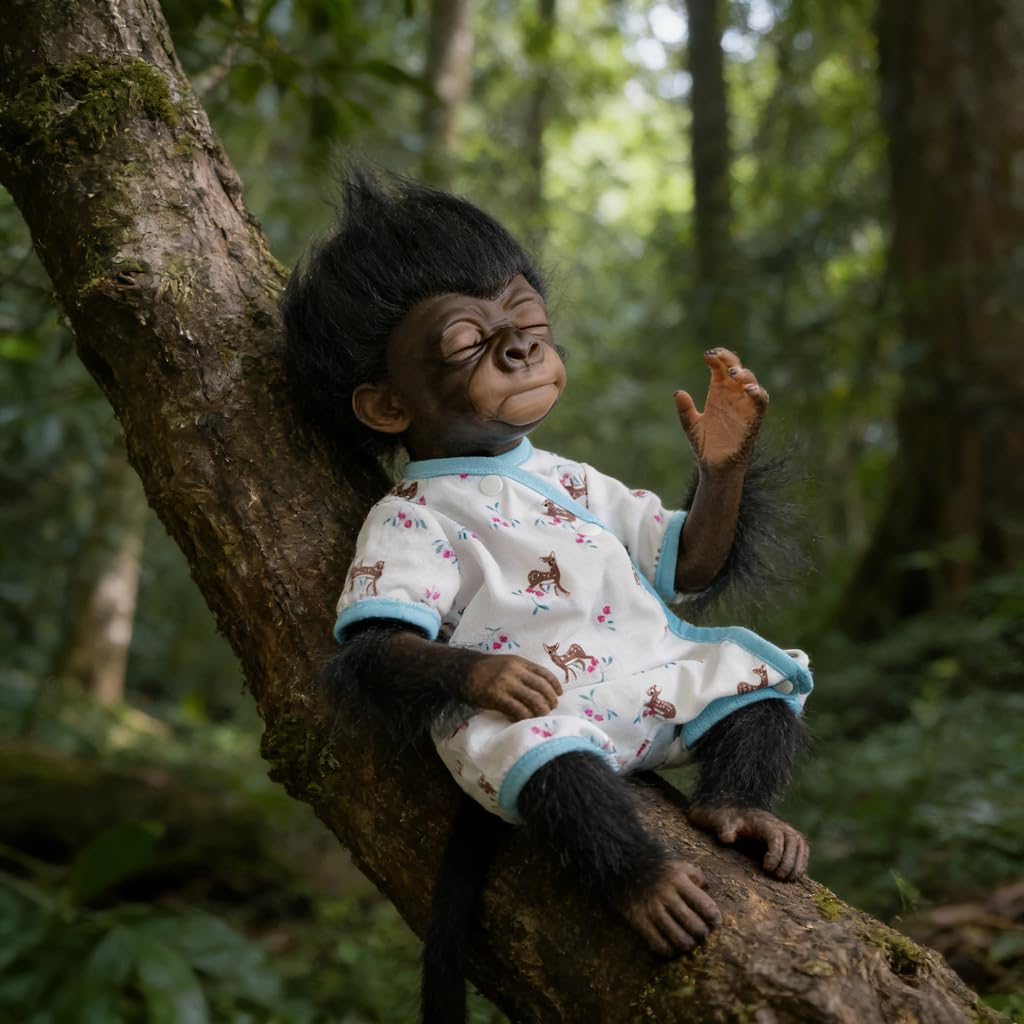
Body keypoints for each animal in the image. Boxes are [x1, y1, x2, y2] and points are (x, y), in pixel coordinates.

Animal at [282, 165, 813, 1024]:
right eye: (465, 341)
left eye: (527, 318)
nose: (523, 349)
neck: (487, 457)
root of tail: (636, 746)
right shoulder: (399, 519)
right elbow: (380, 640)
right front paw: (499, 671)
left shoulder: (585, 478)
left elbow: (686, 561)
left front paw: (727, 433)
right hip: (511, 737)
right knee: (554, 764)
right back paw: (648, 882)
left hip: (697, 677)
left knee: (761, 689)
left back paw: (739, 812)